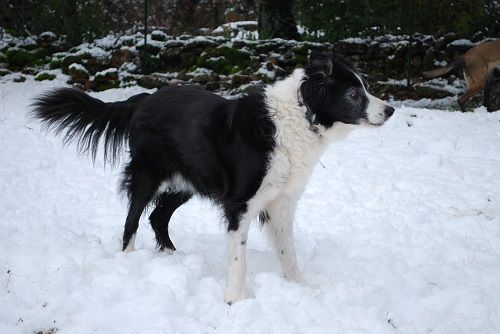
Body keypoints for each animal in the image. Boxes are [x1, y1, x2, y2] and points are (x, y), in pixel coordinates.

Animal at [34, 51, 394, 302]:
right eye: (353, 94)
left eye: (365, 88)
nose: (390, 110)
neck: (301, 114)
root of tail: (144, 98)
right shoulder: (240, 204)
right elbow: (239, 257)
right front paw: (236, 301)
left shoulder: (282, 202)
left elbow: (288, 252)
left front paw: (301, 288)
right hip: (148, 174)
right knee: (133, 219)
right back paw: (127, 262)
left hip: (187, 180)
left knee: (157, 217)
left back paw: (173, 257)